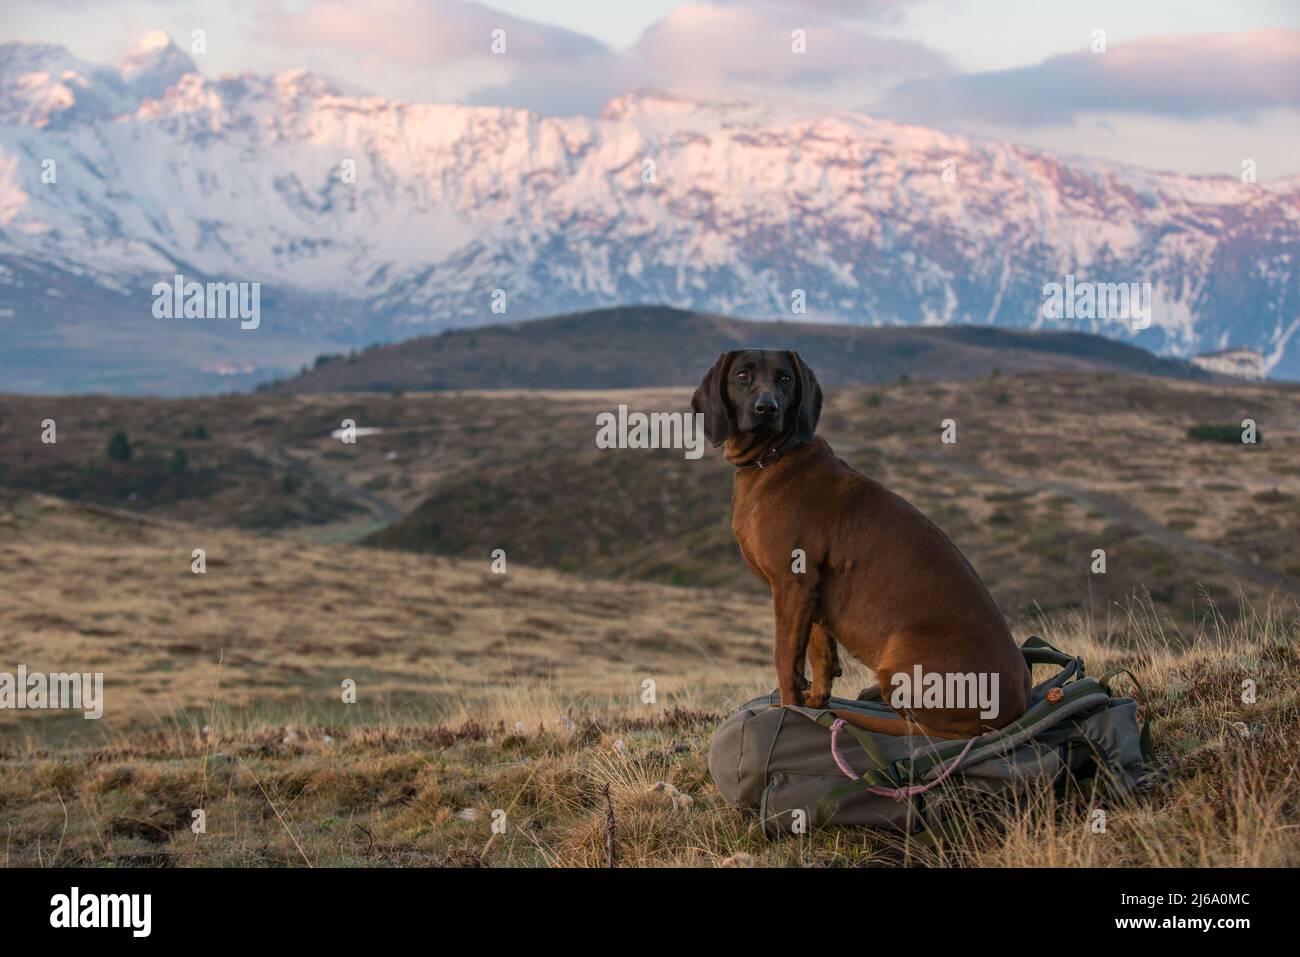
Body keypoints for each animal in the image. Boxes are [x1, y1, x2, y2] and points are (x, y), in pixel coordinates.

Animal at [696, 351, 1029, 738]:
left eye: (785, 379)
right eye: (742, 375)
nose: (767, 408)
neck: (775, 457)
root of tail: (1017, 704)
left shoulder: (791, 583)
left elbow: (785, 658)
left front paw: (789, 708)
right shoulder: (810, 593)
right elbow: (820, 653)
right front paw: (814, 702)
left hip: (899, 657)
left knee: (921, 730)